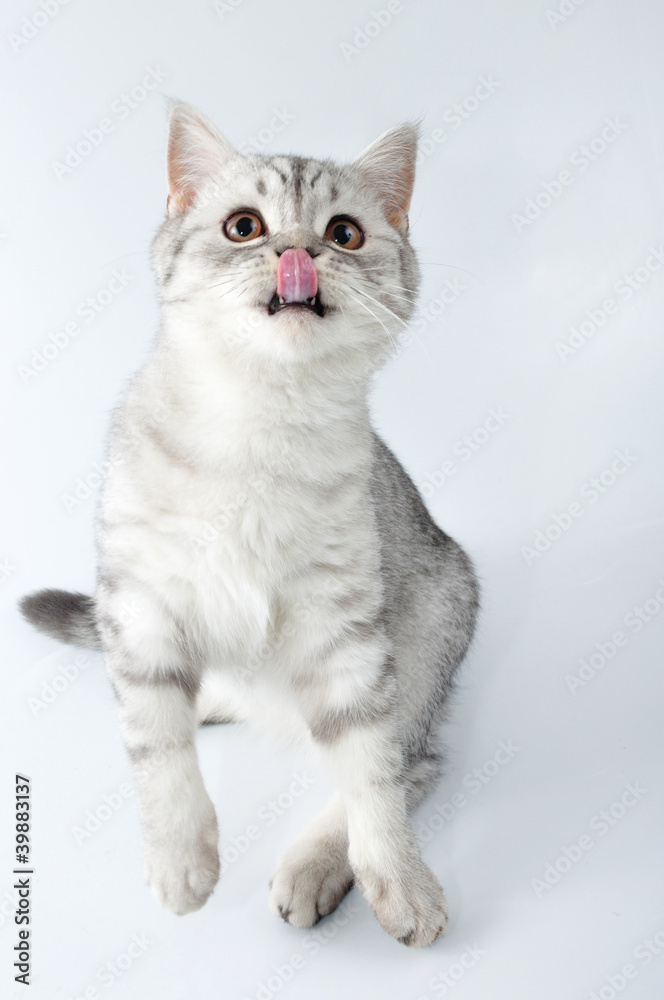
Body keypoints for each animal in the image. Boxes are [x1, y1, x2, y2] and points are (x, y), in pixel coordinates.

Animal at [19, 105, 478, 948]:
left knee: (411, 762)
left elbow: (372, 775)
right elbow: (156, 745)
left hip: (430, 634)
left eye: (344, 233)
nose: (298, 252)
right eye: (244, 226)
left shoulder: (345, 629)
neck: (259, 422)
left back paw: (317, 866)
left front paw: (398, 879)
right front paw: (180, 857)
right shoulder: (140, 597)